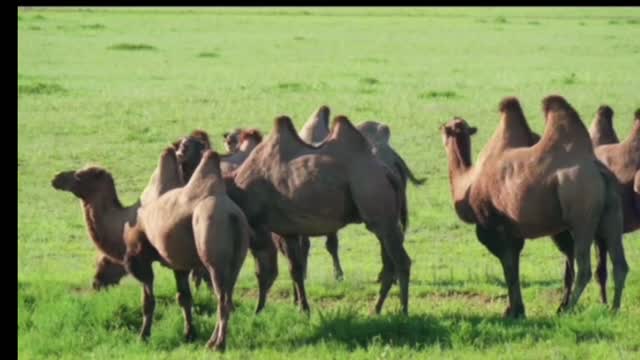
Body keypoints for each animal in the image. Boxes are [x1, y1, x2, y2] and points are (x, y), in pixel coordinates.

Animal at [124, 147, 250, 352]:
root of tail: (233, 216)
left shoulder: (141, 255)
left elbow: (148, 299)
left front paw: (143, 336)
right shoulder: (179, 263)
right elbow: (184, 297)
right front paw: (190, 334)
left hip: (214, 255)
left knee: (222, 298)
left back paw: (218, 344)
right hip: (237, 259)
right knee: (228, 296)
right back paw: (212, 341)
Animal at [222, 114, 408, 316]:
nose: (256, 310)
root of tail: (389, 174)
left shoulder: (276, 229)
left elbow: (277, 268)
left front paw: (299, 308)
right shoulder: (288, 230)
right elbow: (295, 269)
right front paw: (299, 306)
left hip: (378, 209)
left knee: (402, 261)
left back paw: (403, 312)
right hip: (384, 221)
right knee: (390, 264)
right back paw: (377, 309)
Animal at [442, 95, 628, 318]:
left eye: (445, 129)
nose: (441, 129)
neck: (467, 182)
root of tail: (598, 171)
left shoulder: (491, 226)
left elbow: (508, 266)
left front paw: (513, 311)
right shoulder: (512, 230)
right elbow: (513, 266)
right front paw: (515, 309)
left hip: (581, 212)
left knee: (584, 267)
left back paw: (568, 309)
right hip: (612, 211)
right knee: (620, 263)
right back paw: (614, 309)